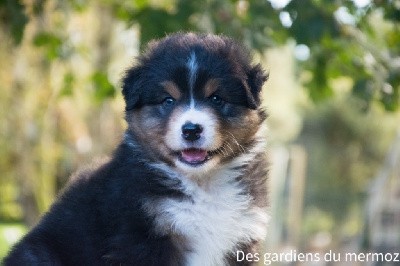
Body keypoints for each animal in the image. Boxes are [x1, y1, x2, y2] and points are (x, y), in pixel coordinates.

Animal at [3, 33, 268, 266]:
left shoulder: (242, 241)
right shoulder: (140, 239)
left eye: (216, 99)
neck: (202, 184)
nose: (191, 130)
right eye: (168, 100)